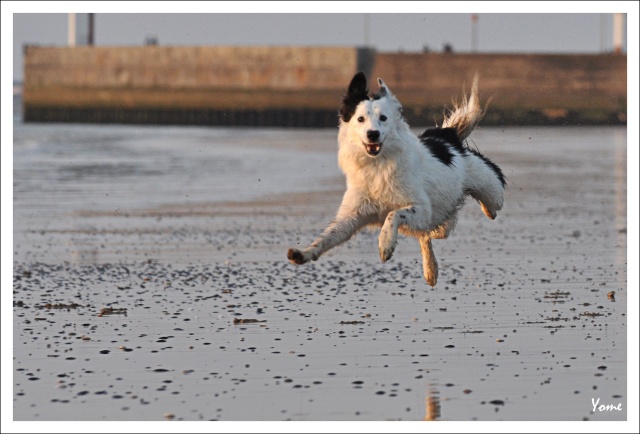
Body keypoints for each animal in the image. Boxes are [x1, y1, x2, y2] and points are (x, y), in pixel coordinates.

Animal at [286, 73, 504, 286]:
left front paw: (385, 244)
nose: (372, 134)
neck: (377, 165)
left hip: (488, 191)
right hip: (439, 222)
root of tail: (447, 135)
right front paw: (303, 253)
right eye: (360, 119)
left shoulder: (421, 208)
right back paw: (430, 271)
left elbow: (393, 214)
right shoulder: (352, 216)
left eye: (383, 118)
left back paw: (487, 210)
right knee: (427, 235)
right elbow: (327, 237)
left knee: (492, 204)